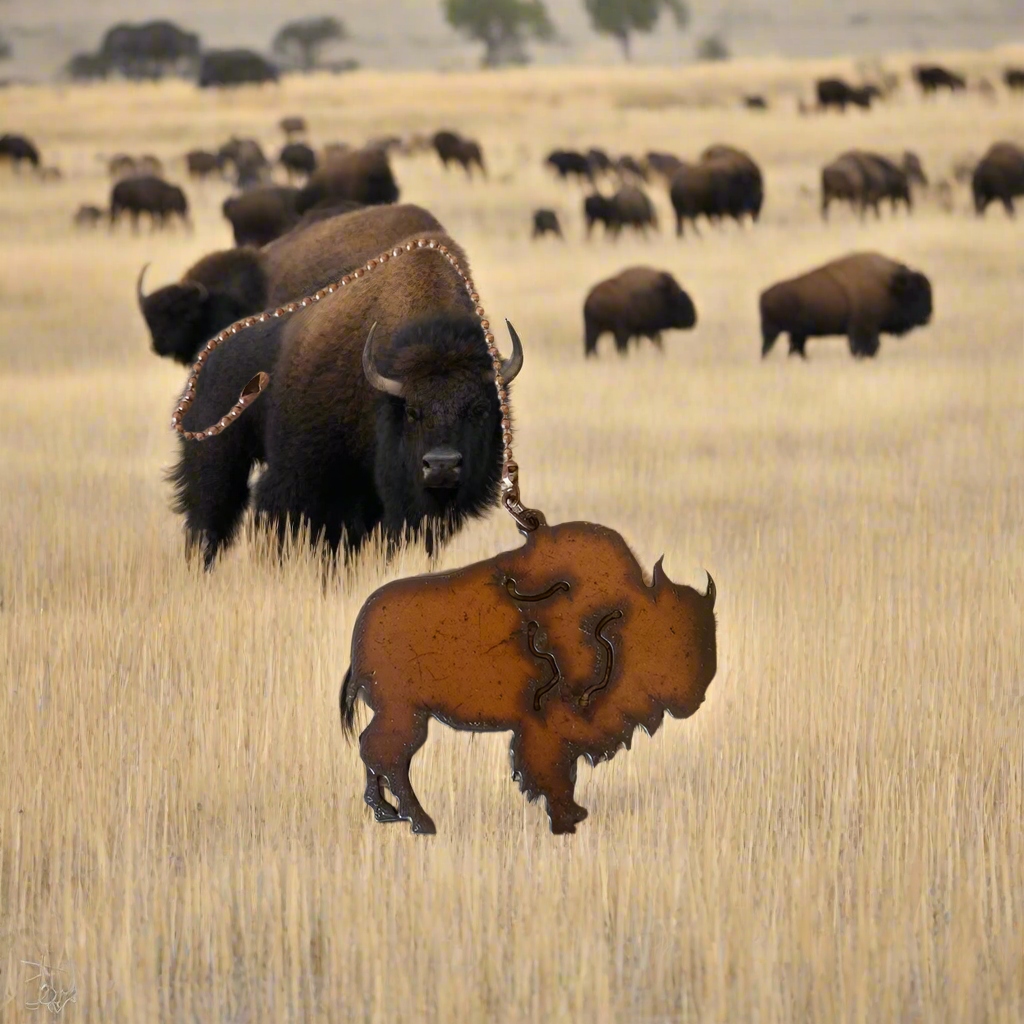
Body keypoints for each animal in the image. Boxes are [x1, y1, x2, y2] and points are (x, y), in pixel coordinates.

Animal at [167, 230, 524, 569]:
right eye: (412, 411)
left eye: (479, 409)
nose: (442, 466)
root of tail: (206, 361)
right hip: (220, 461)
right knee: (213, 515)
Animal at [759, 251, 933, 360]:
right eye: (915, 292)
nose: (928, 316)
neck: (888, 286)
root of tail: (763, 294)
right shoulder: (863, 329)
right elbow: (865, 347)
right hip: (773, 333)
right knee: (770, 349)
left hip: (795, 334)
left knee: (795, 348)